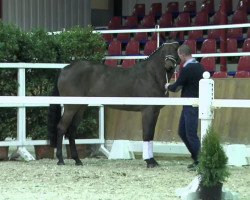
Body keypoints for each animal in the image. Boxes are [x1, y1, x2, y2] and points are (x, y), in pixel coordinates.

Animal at [47, 41, 179, 167]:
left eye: (175, 50)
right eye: (164, 52)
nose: (168, 65)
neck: (151, 75)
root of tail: (65, 69)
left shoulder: (155, 111)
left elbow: (151, 135)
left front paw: (153, 161)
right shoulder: (148, 111)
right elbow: (147, 134)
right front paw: (149, 161)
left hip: (80, 108)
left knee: (72, 130)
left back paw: (77, 160)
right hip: (71, 107)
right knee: (61, 127)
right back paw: (60, 159)